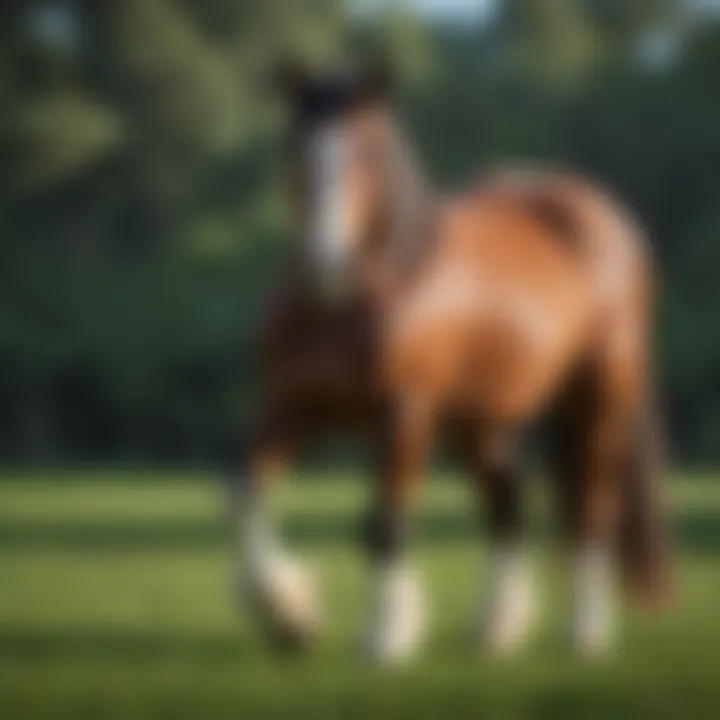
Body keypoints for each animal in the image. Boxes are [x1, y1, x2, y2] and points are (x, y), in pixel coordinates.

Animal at [229, 60, 664, 664]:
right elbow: (244, 496)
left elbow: (384, 523)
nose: (325, 262)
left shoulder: (404, 415)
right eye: (295, 147)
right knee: (507, 499)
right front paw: (291, 615)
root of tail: (599, 214)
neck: (349, 302)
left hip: (598, 394)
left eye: (366, 152)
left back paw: (585, 633)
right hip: (478, 420)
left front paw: (387, 635)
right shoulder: (289, 410)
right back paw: (496, 629)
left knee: (590, 504)